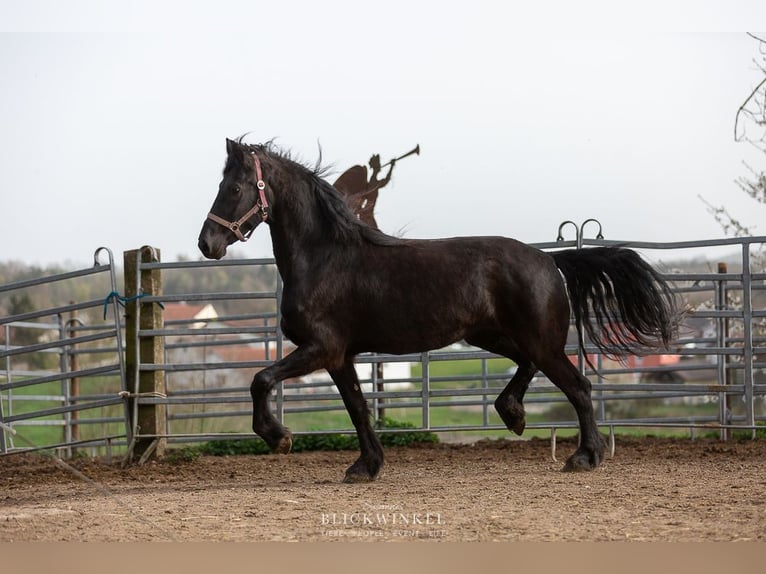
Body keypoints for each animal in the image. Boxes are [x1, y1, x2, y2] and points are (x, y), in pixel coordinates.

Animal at [198, 141, 680, 486]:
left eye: (234, 188)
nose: (208, 243)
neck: (325, 258)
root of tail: (549, 259)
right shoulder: (340, 356)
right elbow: (358, 407)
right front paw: (366, 467)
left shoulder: (321, 348)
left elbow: (261, 380)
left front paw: (278, 437)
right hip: (493, 336)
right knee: (529, 368)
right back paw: (513, 414)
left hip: (540, 341)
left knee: (578, 385)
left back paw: (585, 456)